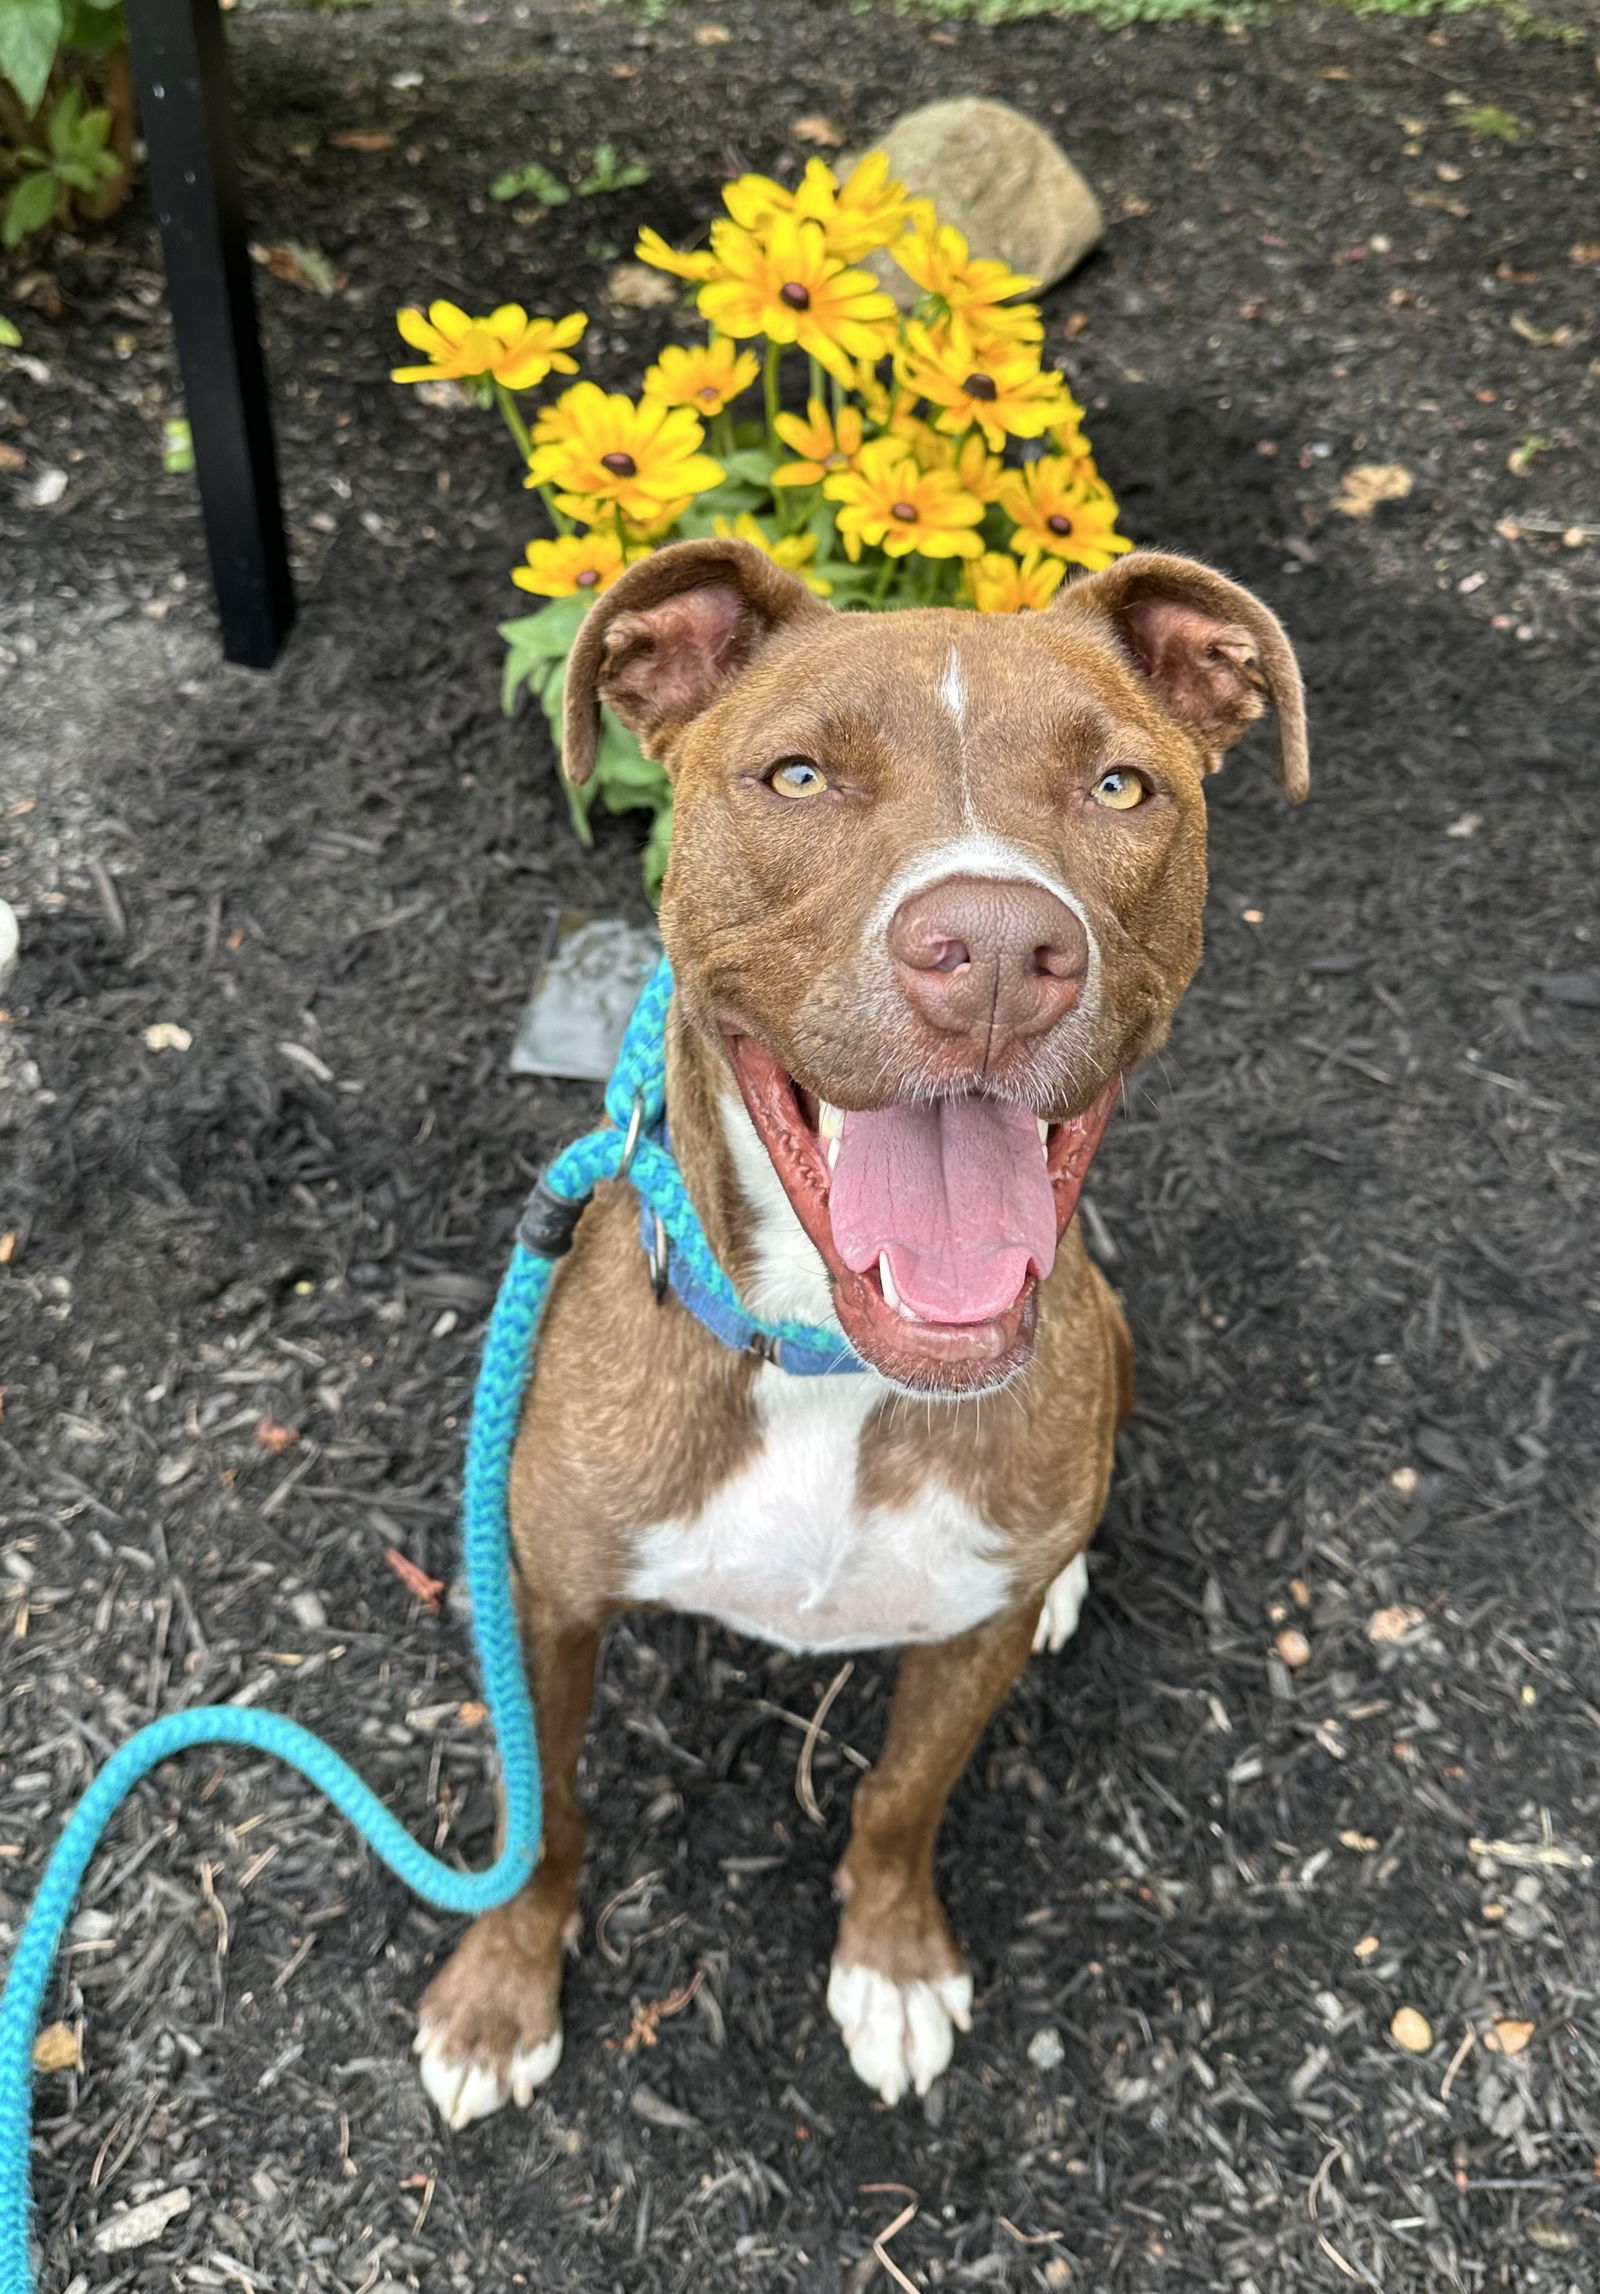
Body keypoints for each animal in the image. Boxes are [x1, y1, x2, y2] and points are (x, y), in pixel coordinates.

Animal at [415, 532, 1313, 2110]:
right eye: (796, 777)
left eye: (1119, 785)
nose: (1002, 948)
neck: (829, 1365)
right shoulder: (544, 1600)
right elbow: (546, 1805)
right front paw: (499, 1992)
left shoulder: (962, 1645)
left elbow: (901, 1794)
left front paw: (890, 1960)